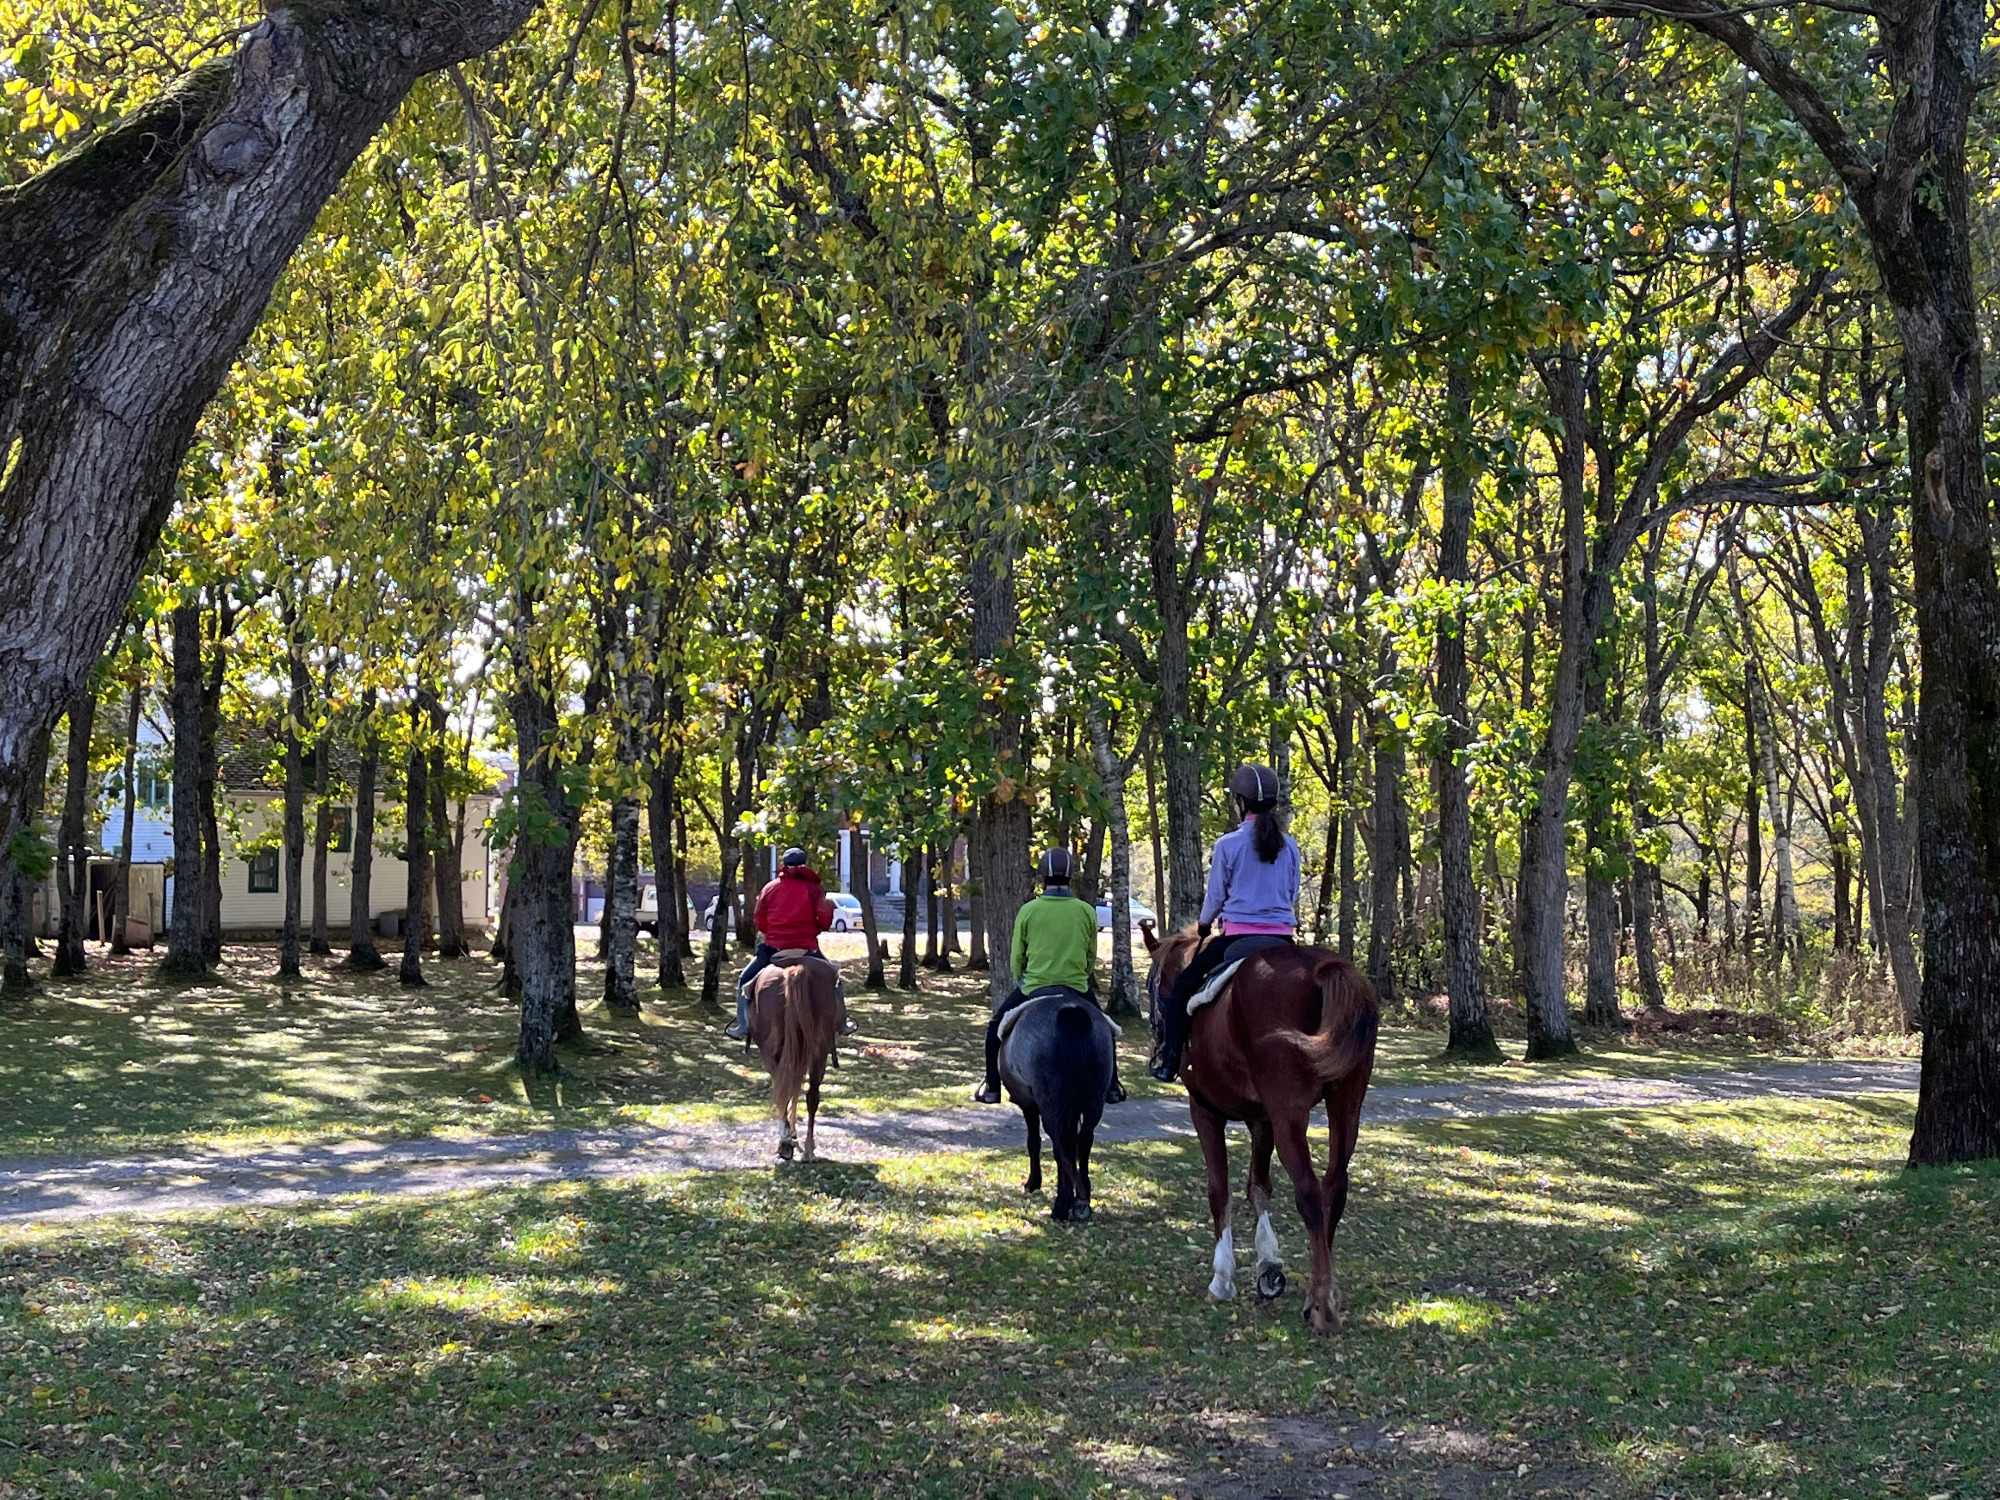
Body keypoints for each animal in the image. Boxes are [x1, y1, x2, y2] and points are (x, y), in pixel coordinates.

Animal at [752, 956, 844, 1168]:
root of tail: (797, 969)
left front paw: (789, 1136)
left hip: (771, 1052)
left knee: (782, 1091)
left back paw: (785, 1143)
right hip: (819, 1049)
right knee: (812, 1095)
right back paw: (808, 1149)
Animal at [996, 988, 1120, 1224]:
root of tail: (1071, 1011)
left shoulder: (1028, 1104)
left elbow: (1034, 1142)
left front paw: (1033, 1183)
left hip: (1051, 1102)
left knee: (1059, 1142)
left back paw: (1062, 1205)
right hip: (1093, 1101)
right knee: (1083, 1140)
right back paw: (1082, 1201)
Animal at [1144, 928, 1376, 1336]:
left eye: (1151, 984)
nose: (1154, 1038)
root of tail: (1323, 969)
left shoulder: (1205, 1111)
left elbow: (1219, 1191)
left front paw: (1223, 1278)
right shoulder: (1262, 1119)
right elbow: (1258, 1188)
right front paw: (1269, 1267)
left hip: (1290, 1114)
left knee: (1309, 1193)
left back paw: (1322, 1307)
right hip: (1347, 1104)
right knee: (1334, 1187)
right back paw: (1320, 1294)